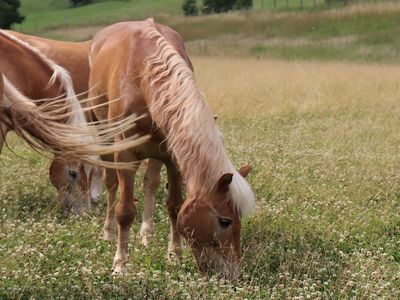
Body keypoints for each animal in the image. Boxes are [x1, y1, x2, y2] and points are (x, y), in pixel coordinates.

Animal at [88, 19, 255, 278]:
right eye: (225, 221)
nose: (233, 273)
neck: (143, 77)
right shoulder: (125, 154)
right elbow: (124, 212)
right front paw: (120, 264)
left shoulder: (173, 157)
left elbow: (175, 207)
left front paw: (174, 255)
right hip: (102, 132)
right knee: (111, 184)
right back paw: (108, 232)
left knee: (150, 183)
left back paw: (146, 234)